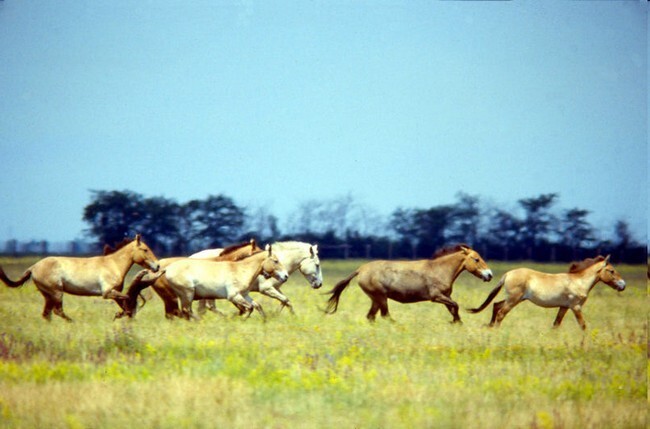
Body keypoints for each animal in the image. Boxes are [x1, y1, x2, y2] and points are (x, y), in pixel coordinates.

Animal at [0, 234, 159, 320]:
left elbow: (125, 303)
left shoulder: (114, 293)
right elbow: (126, 299)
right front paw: (120, 315)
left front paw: (122, 315)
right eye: (145, 249)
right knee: (57, 311)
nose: (157, 266)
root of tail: (33, 267)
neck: (113, 264)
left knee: (47, 314)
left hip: (48, 295)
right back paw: (72, 322)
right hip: (56, 292)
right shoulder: (107, 293)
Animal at [192, 241, 324, 314]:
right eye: (317, 265)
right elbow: (285, 300)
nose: (319, 284)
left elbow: (286, 301)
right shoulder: (266, 289)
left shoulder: (276, 288)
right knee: (209, 307)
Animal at [324, 244, 492, 320]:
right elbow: (456, 306)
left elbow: (454, 309)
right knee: (384, 316)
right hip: (380, 297)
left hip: (376, 299)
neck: (439, 269)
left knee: (372, 316)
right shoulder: (436, 297)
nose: (489, 274)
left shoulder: (446, 297)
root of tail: (360, 269)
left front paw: (457, 323)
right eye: (476, 259)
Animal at [466, 256, 624, 330]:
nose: (623, 285)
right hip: (513, 300)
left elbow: (556, 324)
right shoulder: (576, 307)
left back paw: (491, 327)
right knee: (501, 313)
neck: (578, 282)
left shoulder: (564, 307)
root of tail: (508, 274)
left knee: (496, 305)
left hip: (515, 299)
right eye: (611, 271)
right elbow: (583, 325)